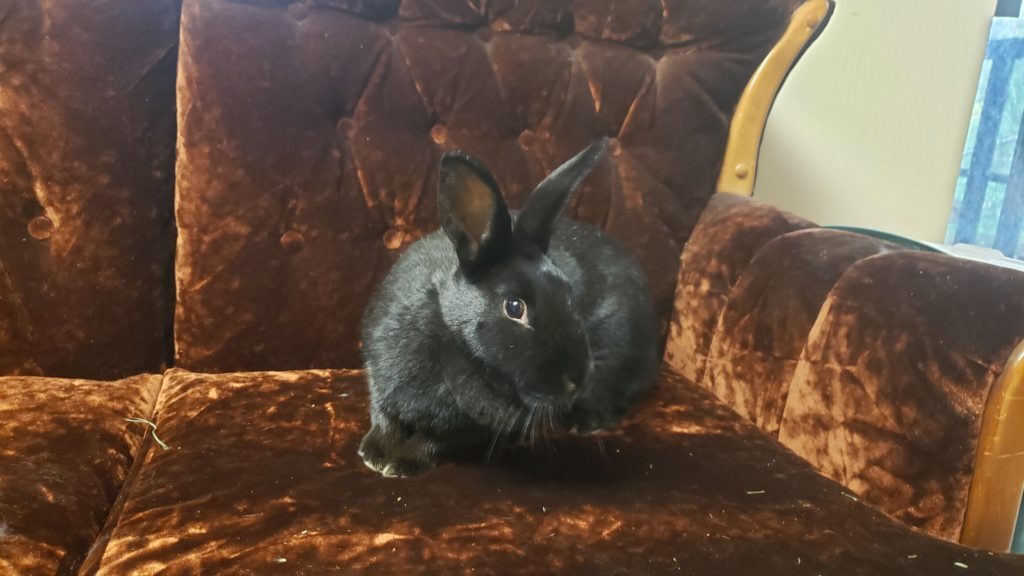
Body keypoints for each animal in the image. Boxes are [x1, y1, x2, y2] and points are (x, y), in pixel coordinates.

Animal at [359, 138, 658, 477]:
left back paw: (584, 422)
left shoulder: (472, 427)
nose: (579, 377)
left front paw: (403, 461)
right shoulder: (377, 374)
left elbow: (436, 438)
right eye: (514, 307)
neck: (449, 337)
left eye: (569, 293)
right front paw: (375, 451)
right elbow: (382, 413)